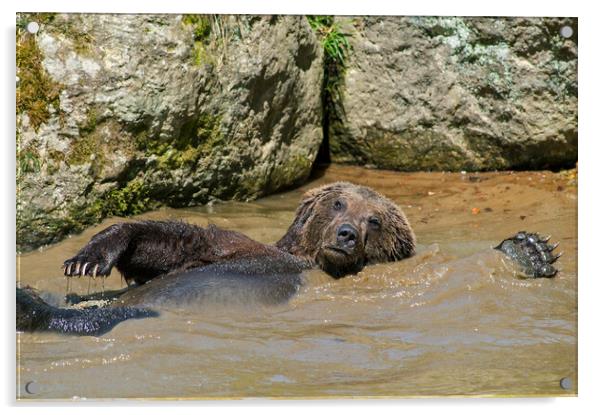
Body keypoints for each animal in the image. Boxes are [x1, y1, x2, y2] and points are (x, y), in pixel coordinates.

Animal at [15, 180, 556, 336]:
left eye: (374, 221)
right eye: (339, 204)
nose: (347, 234)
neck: (310, 262)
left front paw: (530, 249)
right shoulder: (235, 248)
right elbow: (174, 244)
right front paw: (89, 257)